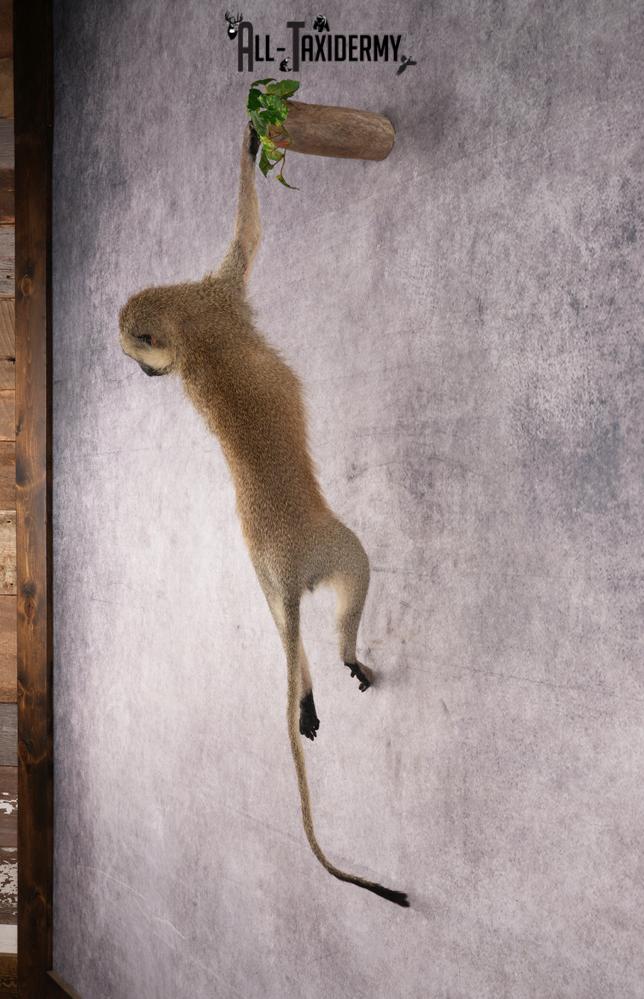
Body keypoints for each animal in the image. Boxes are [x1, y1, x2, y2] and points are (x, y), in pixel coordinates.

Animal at [118, 125, 409, 908]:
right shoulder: (218, 292)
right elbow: (246, 236)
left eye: (141, 360)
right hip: (331, 545)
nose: (145, 377)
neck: (186, 324)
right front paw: (252, 138)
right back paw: (343, 656)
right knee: (351, 581)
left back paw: (305, 693)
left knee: (286, 632)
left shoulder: (205, 301)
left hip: (263, 577)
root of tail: (282, 561)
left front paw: (254, 128)